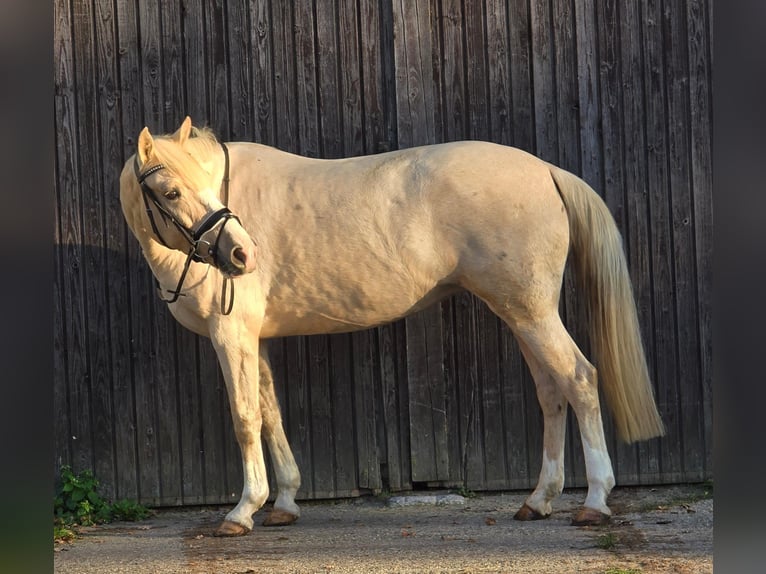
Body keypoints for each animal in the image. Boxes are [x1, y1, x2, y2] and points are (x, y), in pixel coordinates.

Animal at [119, 116, 664, 536]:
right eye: (172, 190)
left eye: (209, 187)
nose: (242, 254)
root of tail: (547, 171)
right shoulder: (257, 339)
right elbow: (271, 414)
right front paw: (285, 504)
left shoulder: (231, 336)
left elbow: (245, 418)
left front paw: (242, 511)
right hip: (521, 312)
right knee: (552, 394)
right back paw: (539, 499)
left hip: (532, 314)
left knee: (579, 380)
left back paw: (594, 502)